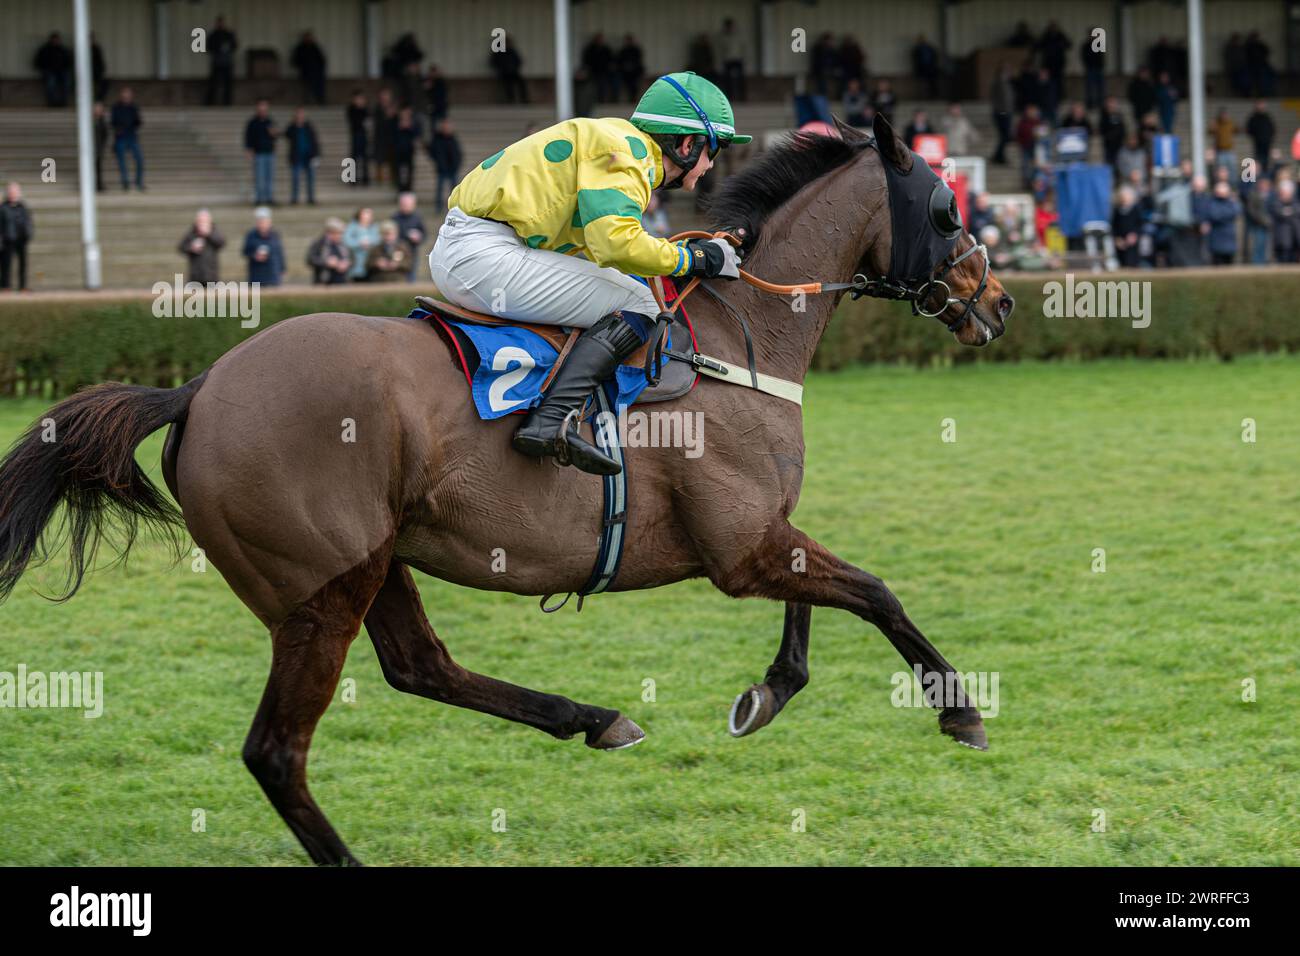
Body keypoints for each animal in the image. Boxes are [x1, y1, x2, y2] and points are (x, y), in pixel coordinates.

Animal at [0, 113, 1013, 868]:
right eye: (947, 208)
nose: (998, 301)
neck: (741, 334)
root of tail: (199, 387)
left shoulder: (760, 533)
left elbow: (820, 602)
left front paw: (767, 693)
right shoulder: (741, 546)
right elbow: (876, 591)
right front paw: (958, 708)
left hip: (371, 562)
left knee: (420, 667)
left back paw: (593, 719)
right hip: (318, 588)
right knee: (278, 750)